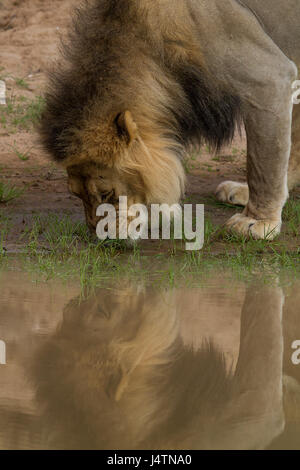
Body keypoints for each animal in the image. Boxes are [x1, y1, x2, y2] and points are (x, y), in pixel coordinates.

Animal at [39, 0, 300, 241]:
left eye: (107, 194)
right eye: (77, 195)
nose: (99, 238)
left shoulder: (268, 78)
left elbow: (263, 163)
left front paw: (257, 222)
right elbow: (288, 146)